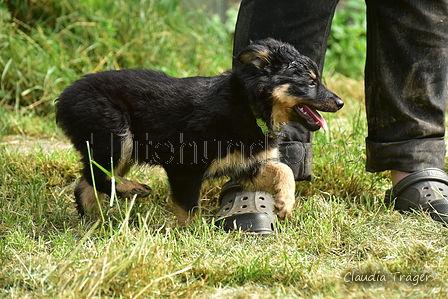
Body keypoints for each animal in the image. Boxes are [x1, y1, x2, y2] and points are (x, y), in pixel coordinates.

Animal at [56, 38, 344, 225]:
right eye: (310, 83)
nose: (341, 103)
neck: (250, 107)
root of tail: (63, 97)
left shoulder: (247, 164)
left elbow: (284, 170)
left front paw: (285, 203)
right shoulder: (185, 166)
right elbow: (188, 208)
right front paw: (189, 236)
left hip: (121, 147)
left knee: (86, 183)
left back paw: (96, 222)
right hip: (114, 132)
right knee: (95, 174)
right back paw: (132, 190)